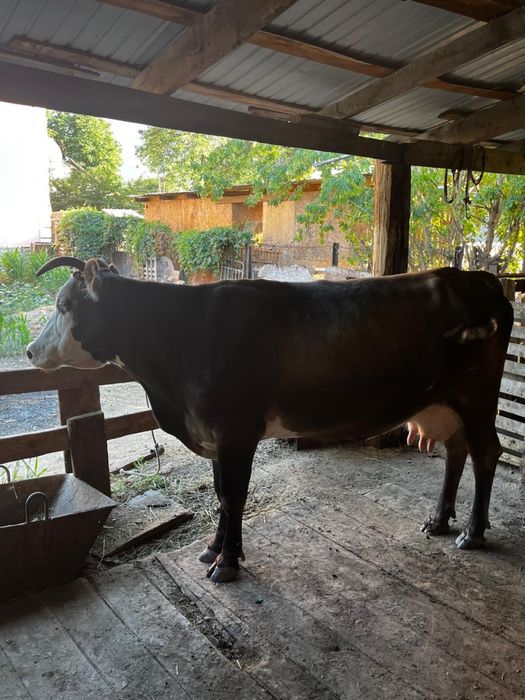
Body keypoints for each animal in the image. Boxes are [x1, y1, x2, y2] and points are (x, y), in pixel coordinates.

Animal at [27, 256, 513, 583]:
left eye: (64, 305)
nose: (31, 351)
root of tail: (479, 278)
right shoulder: (214, 435)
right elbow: (221, 494)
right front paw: (213, 550)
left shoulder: (236, 430)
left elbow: (234, 497)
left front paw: (226, 564)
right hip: (447, 402)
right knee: (457, 450)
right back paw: (439, 520)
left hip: (476, 396)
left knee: (486, 452)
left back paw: (472, 532)